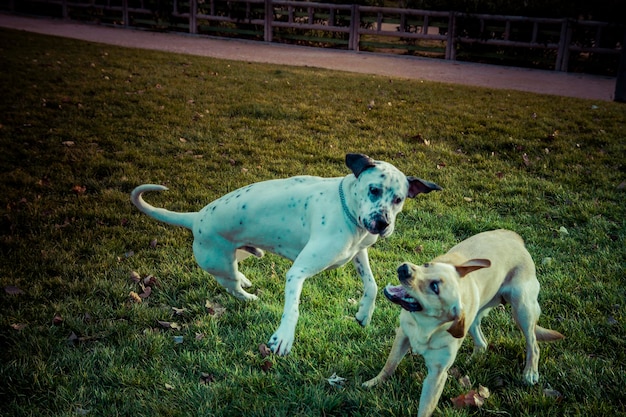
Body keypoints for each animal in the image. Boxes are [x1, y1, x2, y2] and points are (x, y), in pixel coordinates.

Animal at [129, 153, 438, 354]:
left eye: (398, 199)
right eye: (374, 190)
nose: (383, 223)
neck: (349, 213)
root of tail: (196, 218)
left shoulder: (359, 253)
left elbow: (372, 285)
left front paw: (363, 314)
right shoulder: (298, 272)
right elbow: (293, 309)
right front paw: (284, 337)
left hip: (244, 252)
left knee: (238, 272)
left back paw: (246, 280)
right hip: (220, 262)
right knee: (231, 288)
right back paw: (248, 295)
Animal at [360, 228, 560, 416]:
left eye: (435, 287)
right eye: (427, 265)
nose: (404, 269)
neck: (425, 327)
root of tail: (513, 236)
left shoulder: (436, 375)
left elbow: (425, 408)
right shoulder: (403, 335)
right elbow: (390, 365)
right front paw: (373, 383)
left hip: (522, 309)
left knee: (533, 343)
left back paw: (530, 372)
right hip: (475, 318)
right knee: (482, 342)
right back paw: (474, 358)